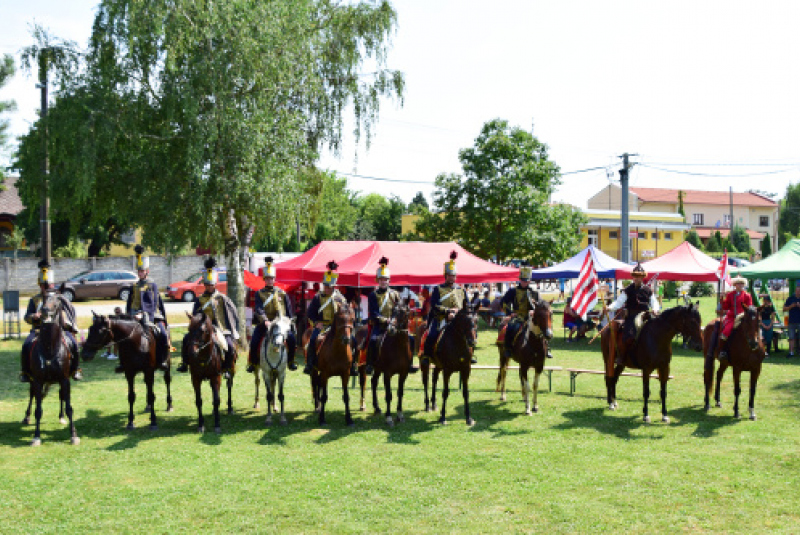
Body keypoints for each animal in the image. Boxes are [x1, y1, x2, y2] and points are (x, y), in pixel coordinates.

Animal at [26, 292, 80, 446]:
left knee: (61, 395)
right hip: (32, 380)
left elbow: (69, 407)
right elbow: (38, 410)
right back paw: (26, 417)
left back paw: (61, 417)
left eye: (57, 302)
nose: (44, 312)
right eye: (44, 299)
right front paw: (36, 436)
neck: (50, 349)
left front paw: (73, 435)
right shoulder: (38, 381)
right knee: (32, 395)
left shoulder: (64, 379)